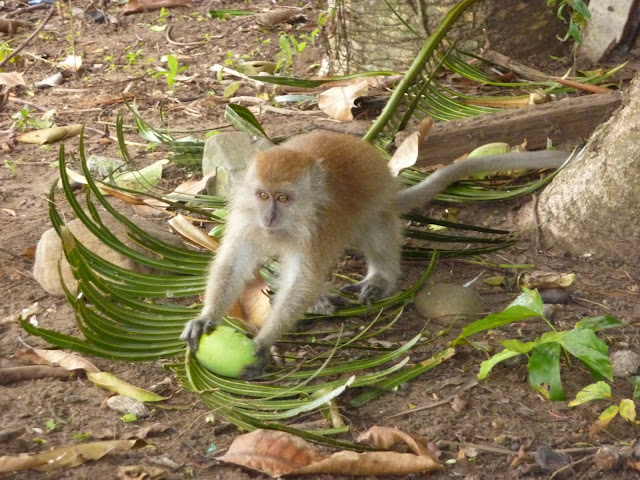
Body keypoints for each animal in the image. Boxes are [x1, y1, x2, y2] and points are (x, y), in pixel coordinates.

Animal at [181, 130, 568, 378]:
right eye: (263, 195)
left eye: (284, 199)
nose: (269, 217)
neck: (286, 225)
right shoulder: (247, 221)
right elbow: (234, 262)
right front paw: (207, 318)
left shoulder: (316, 231)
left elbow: (303, 278)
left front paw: (264, 342)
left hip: (378, 202)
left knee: (376, 223)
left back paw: (380, 276)